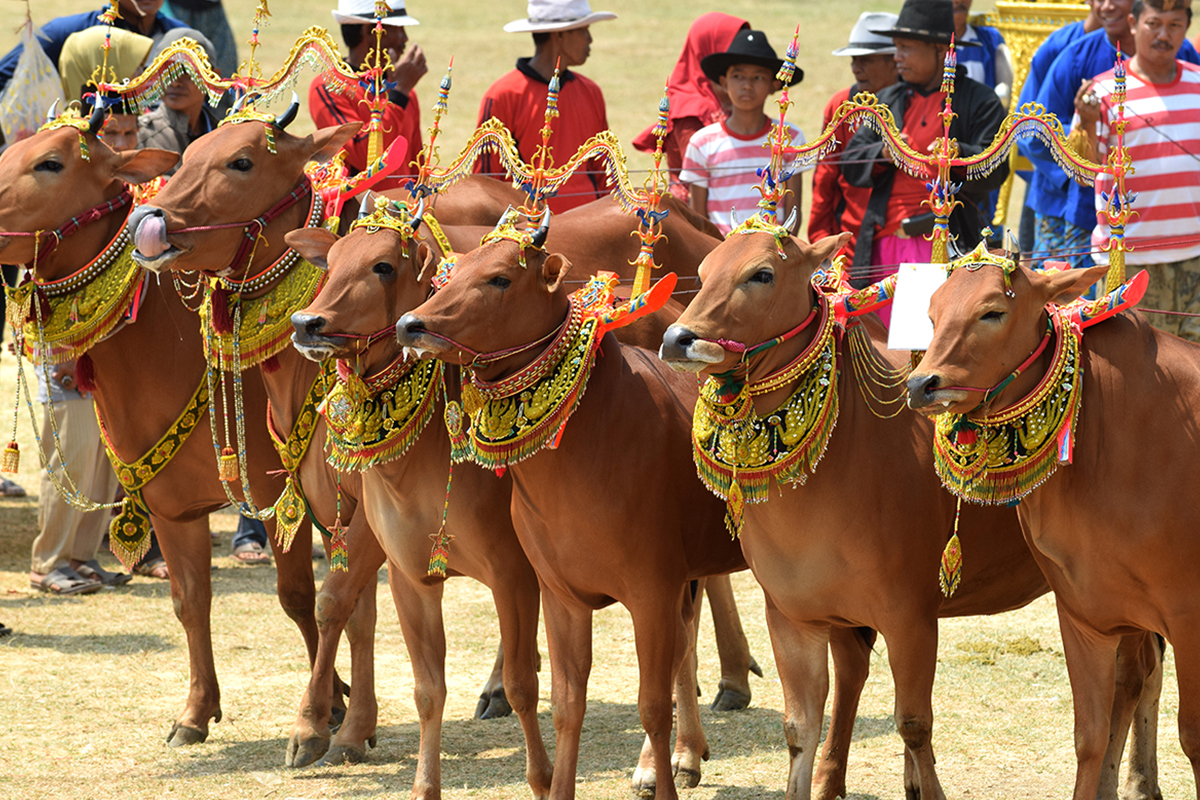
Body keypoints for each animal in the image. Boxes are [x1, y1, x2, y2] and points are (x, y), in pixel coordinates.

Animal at [0, 113, 364, 753]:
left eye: (50, 163)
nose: (153, 221)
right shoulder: (172, 508)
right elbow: (189, 602)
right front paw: (196, 711)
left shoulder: (280, 499)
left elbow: (299, 598)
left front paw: (326, 709)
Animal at [396, 225, 748, 800]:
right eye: (453, 271)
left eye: (500, 278)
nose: (412, 324)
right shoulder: (561, 594)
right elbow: (565, 705)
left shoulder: (651, 590)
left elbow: (652, 706)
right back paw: (685, 756)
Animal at [662, 231, 1156, 800]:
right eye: (703, 269)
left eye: (761, 274)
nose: (677, 338)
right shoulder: (791, 615)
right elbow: (799, 728)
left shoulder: (910, 618)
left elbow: (914, 723)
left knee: (1135, 676)